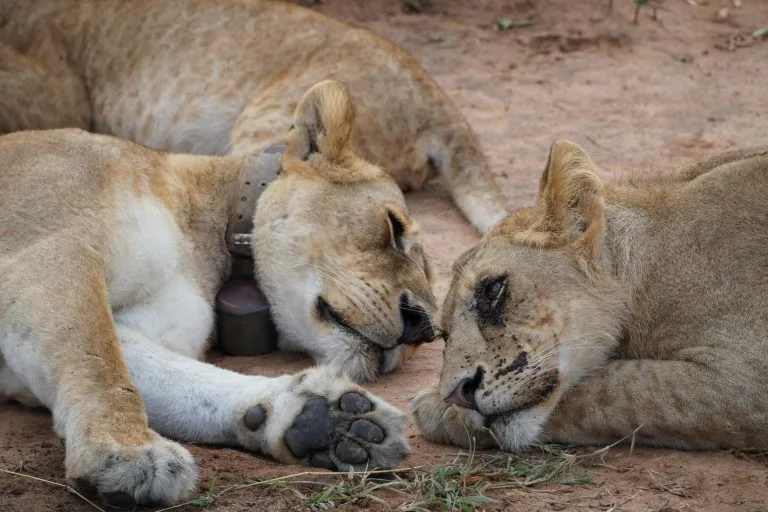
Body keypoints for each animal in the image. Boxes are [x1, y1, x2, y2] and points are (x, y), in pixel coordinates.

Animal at [0, 82, 418, 507]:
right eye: (394, 228)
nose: (422, 327)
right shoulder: (50, 250)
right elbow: (97, 365)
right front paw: (124, 450)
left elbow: (175, 379)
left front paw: (321, 419)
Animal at [413, 140, 768, 452]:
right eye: (443, 336)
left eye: (493, 290)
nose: (457, 395)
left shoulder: (745, 377)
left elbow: (615, 388)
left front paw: (435, 409)